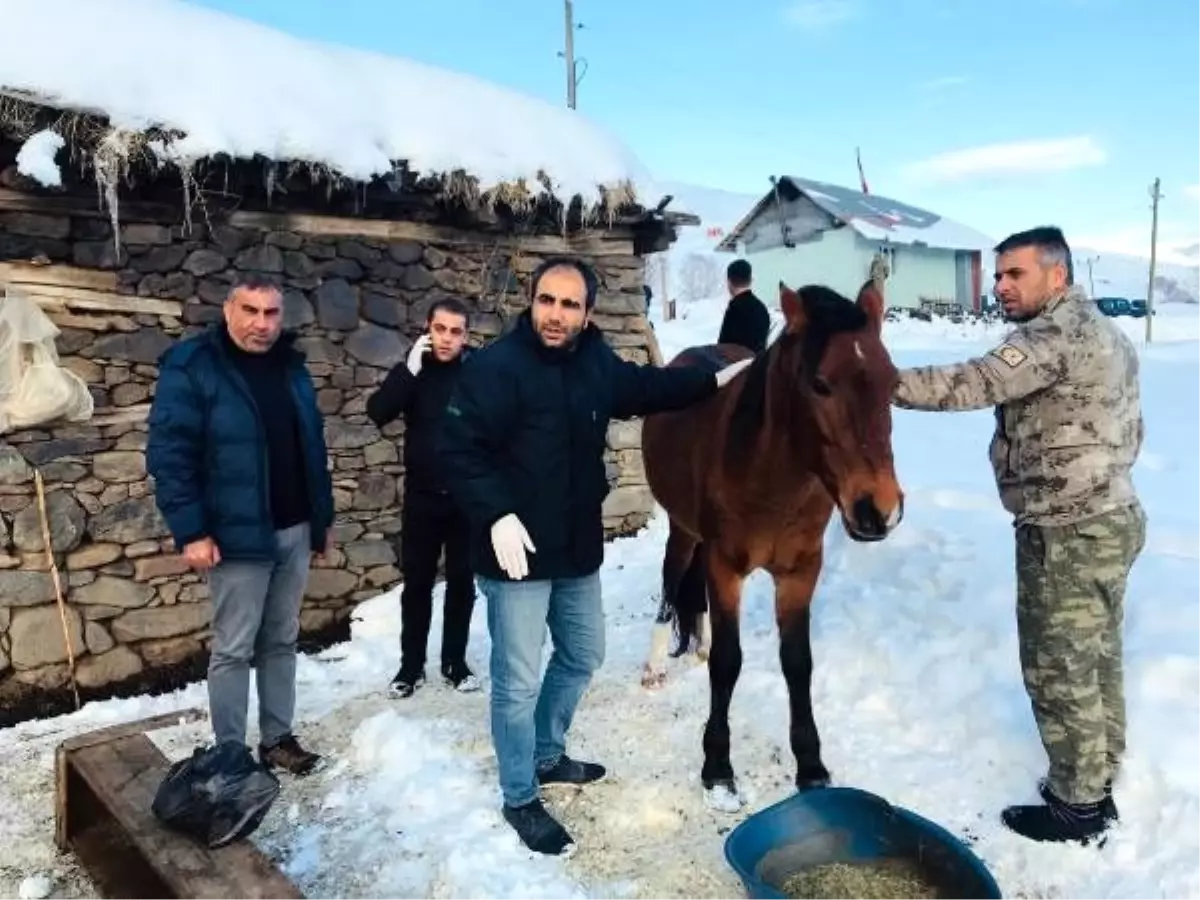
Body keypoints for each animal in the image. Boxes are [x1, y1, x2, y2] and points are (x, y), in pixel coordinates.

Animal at [638, 278, 902, 816]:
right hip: (685, 530)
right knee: (672, 583)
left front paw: (812, 767)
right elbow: (728, 663)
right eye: (820, 384)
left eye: (892, 384)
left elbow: (797, 663)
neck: (774, 476)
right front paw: (718, 771)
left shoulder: (800, 573)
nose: (878, 509)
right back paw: (655, 666)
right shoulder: (724, 566)